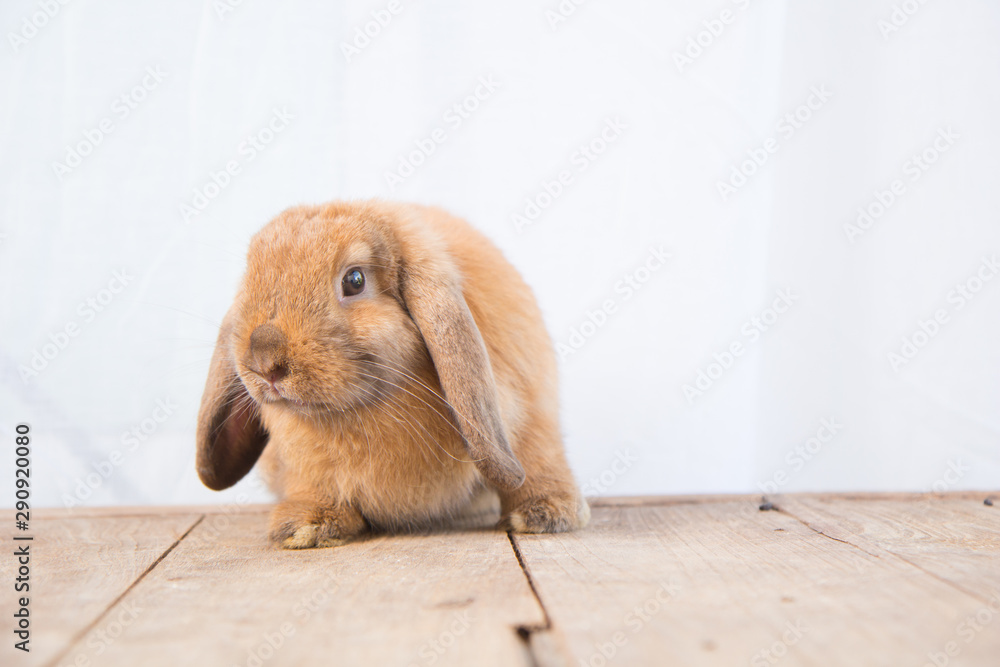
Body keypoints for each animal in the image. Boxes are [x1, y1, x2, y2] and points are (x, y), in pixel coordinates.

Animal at [196, 200, 589, 548]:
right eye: (251, 280)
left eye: (354, 280)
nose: (265, 360)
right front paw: (305, 526)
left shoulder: (529, 414)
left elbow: (534, 459)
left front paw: (544, 515)